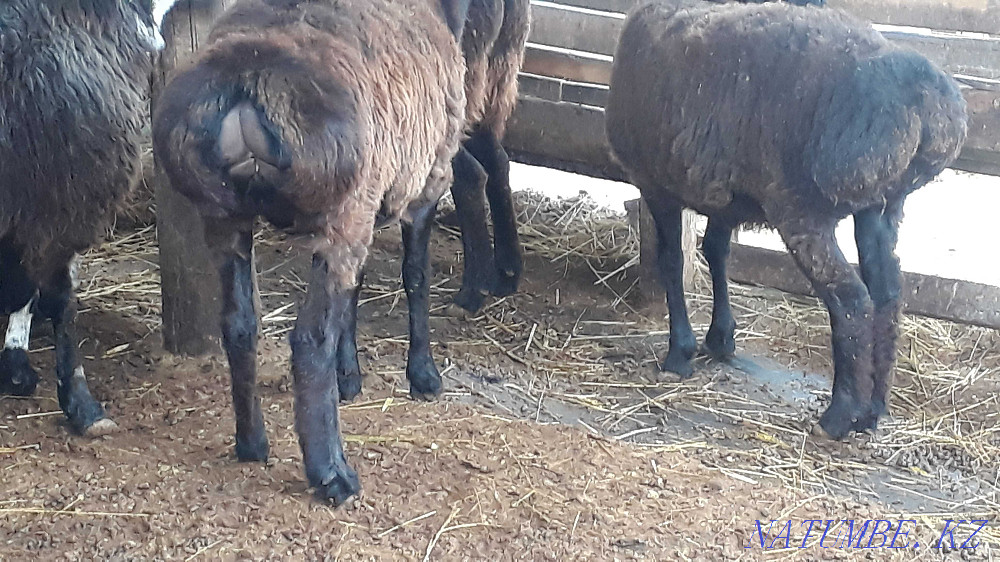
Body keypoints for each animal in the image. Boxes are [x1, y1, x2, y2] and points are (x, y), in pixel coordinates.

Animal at [152, 0, 469, 504]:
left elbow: (355, 292)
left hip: (225, 214)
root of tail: (246, 78)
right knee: (308, 339)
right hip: (343, 208)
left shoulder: (375, 202)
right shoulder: (425, 181)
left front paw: (350, 376)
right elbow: (415, 277)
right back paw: (332, 473)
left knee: (239, 324)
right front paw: (423, 375)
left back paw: (252, 443)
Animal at [606, 0, 967, 439]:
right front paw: (720, 338)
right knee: (887, 293)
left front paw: (680, 353)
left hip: (802, 205)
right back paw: (873, 410)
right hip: (880, 205)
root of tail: (922, 98)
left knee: (851, 299)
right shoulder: (726, 197)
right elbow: (717, 251)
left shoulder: (655, 183)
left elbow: (672, 261)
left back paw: (838, 415)